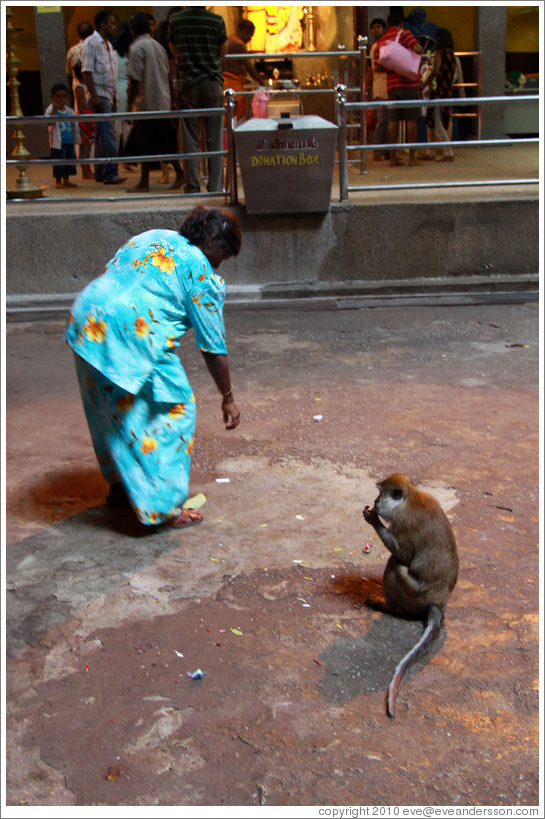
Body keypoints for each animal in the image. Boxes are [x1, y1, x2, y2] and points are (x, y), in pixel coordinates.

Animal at [364, 474, 456, 716]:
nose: (375, 501)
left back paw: (389, 607)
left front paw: (374, 519)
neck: (410, 497)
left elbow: (403, 555)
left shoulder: (402, 521)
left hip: (413, 595)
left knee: (395, 565)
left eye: (381, 493)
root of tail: (438, 603)